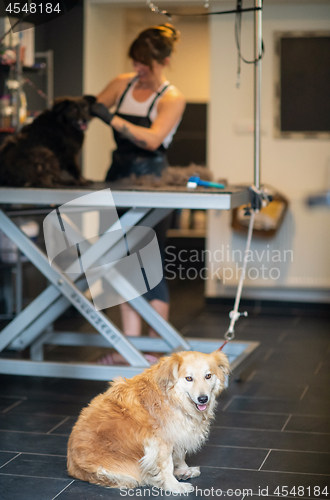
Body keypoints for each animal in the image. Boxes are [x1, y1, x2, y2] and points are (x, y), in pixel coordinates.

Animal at [65, 350, 228, 494]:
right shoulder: (161, 441)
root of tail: (73, 467)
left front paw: (184, 469)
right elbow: (166, 466)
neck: (173, 397)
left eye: (208, 376)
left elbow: (180, 454)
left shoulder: (177, 433)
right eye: (189, 378)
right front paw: (174, 486)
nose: (203, 399)